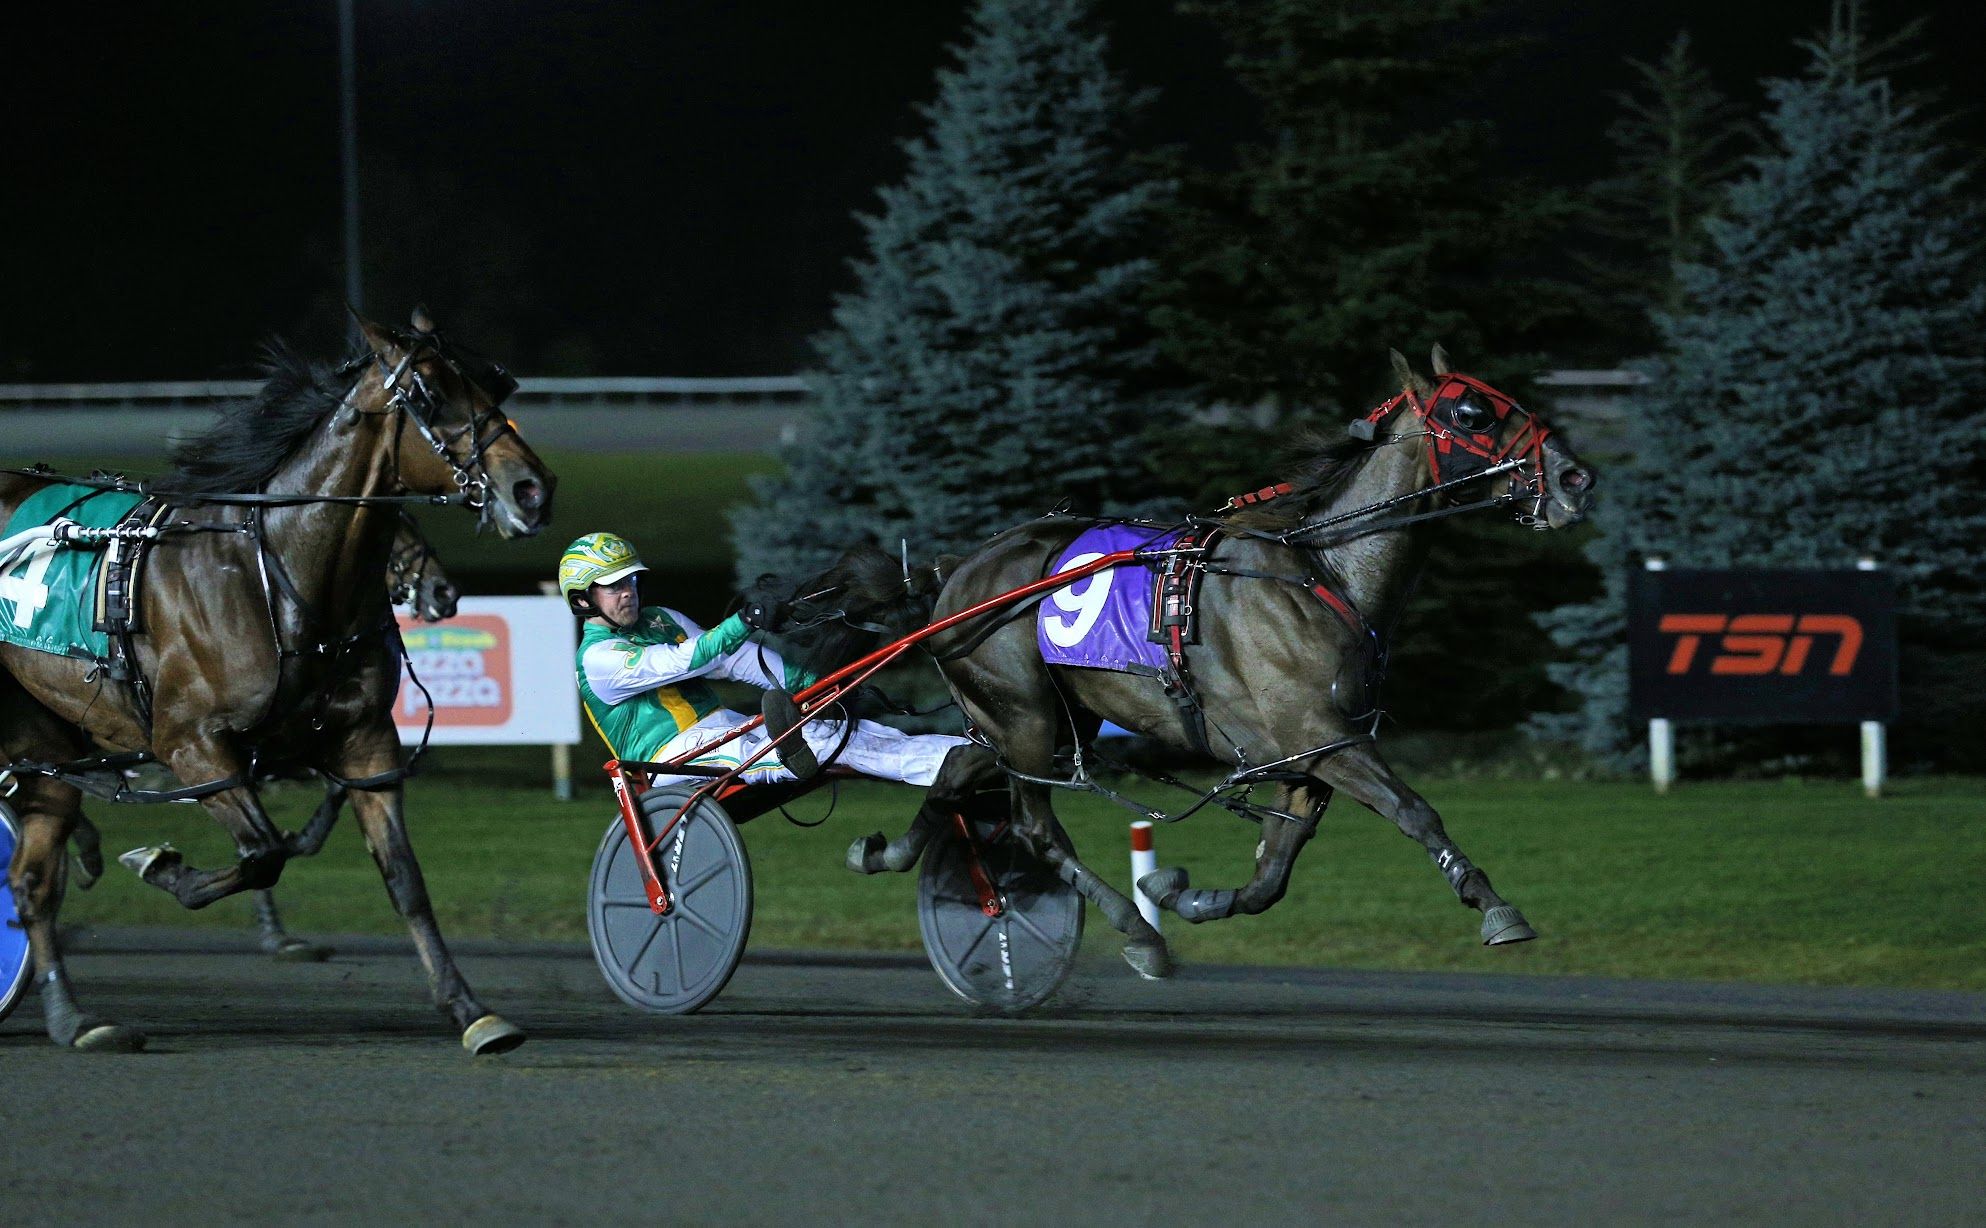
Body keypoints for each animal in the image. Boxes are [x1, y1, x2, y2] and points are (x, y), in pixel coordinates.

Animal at [0, 306, 556, 1041]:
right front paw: (161, 867)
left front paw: (470, 1009)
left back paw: (73, 1018)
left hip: (48, 737)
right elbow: (262, 854)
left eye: (497, 382)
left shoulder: (363, 740)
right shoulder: (191, 744)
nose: (533, 490)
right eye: (431, 393)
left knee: (33, 878)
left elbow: (402, 878)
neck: (278, 575)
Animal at [846, 343, 1588, 973]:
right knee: (1035, 829)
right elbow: (1414, 811)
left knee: (953, 769)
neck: (1325, 572)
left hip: (1045, 721)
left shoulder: (1308, 753)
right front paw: (1496, 907)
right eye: (1473, 413)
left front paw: (1184, 894)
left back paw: (886, 851)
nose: (1576, 476)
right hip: (1022, 715)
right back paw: (1136, 931)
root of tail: (956, 573)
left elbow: (1270, 876)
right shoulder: (1323, 737)